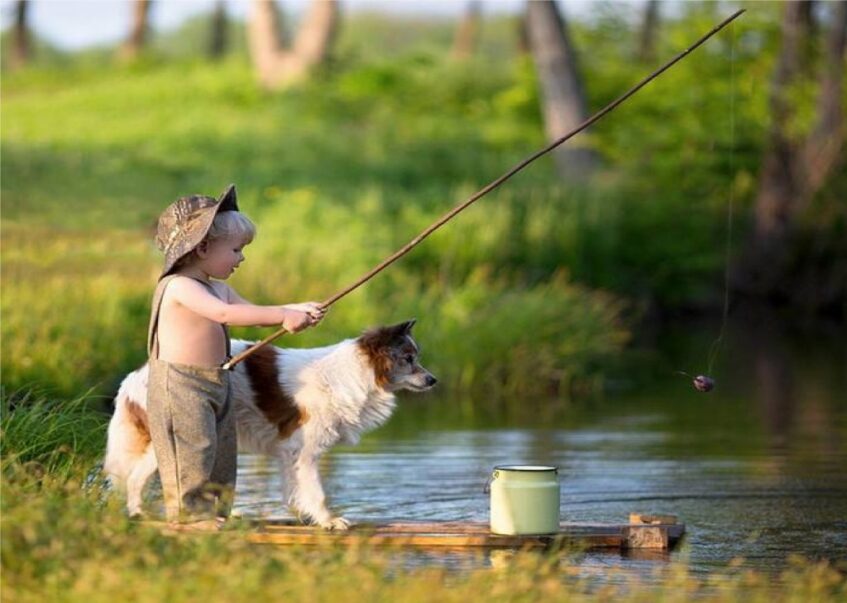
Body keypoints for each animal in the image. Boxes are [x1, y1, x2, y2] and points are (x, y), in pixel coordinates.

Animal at [103, 318, 438, 532]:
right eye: (408, 358)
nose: (433, 380)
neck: (357, 373)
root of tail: (134, 376)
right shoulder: (305, 450)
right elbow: (316, 491)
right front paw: (328, 520)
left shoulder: (291, 451)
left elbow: (293, 488)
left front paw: (305, 517)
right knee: (136, 478)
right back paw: (139, 513)